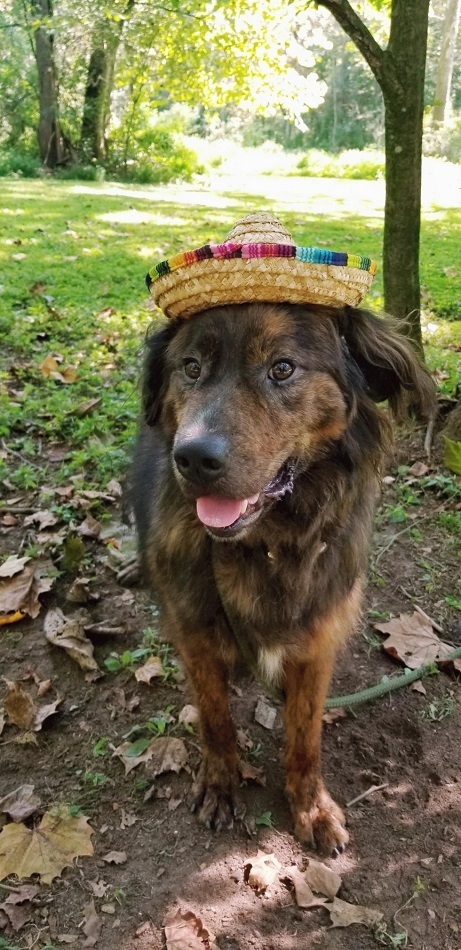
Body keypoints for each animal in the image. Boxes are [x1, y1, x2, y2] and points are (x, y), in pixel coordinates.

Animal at [130, 302, 434, 860]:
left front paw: (310, 806)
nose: (194, 458)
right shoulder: (197, 635)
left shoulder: (317, 640)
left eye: (283, 369)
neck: (265, 545)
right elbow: (215, 720)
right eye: (191, 367)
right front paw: (221, 784)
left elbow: (305, 735)